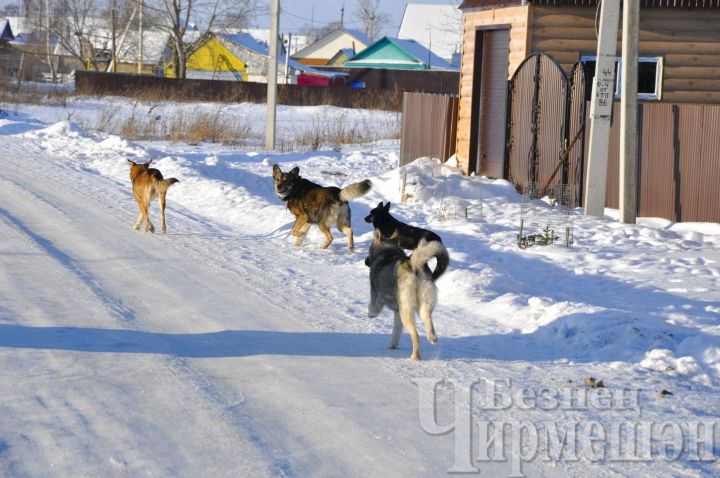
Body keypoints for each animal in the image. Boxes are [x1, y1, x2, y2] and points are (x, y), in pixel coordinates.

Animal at [366, 230, 444, 360]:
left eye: (369, 249)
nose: (366, 261)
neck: (387, 252)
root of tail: (414, 265)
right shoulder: (397, 313)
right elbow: (396, 331)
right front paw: (392, 345)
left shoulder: (377, 298)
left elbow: (372, 308)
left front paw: (370, 315)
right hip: (422, 306)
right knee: (428, 320)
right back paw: (432, 337)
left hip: (406, 312)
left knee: (416, 334)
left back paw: (415, 356)